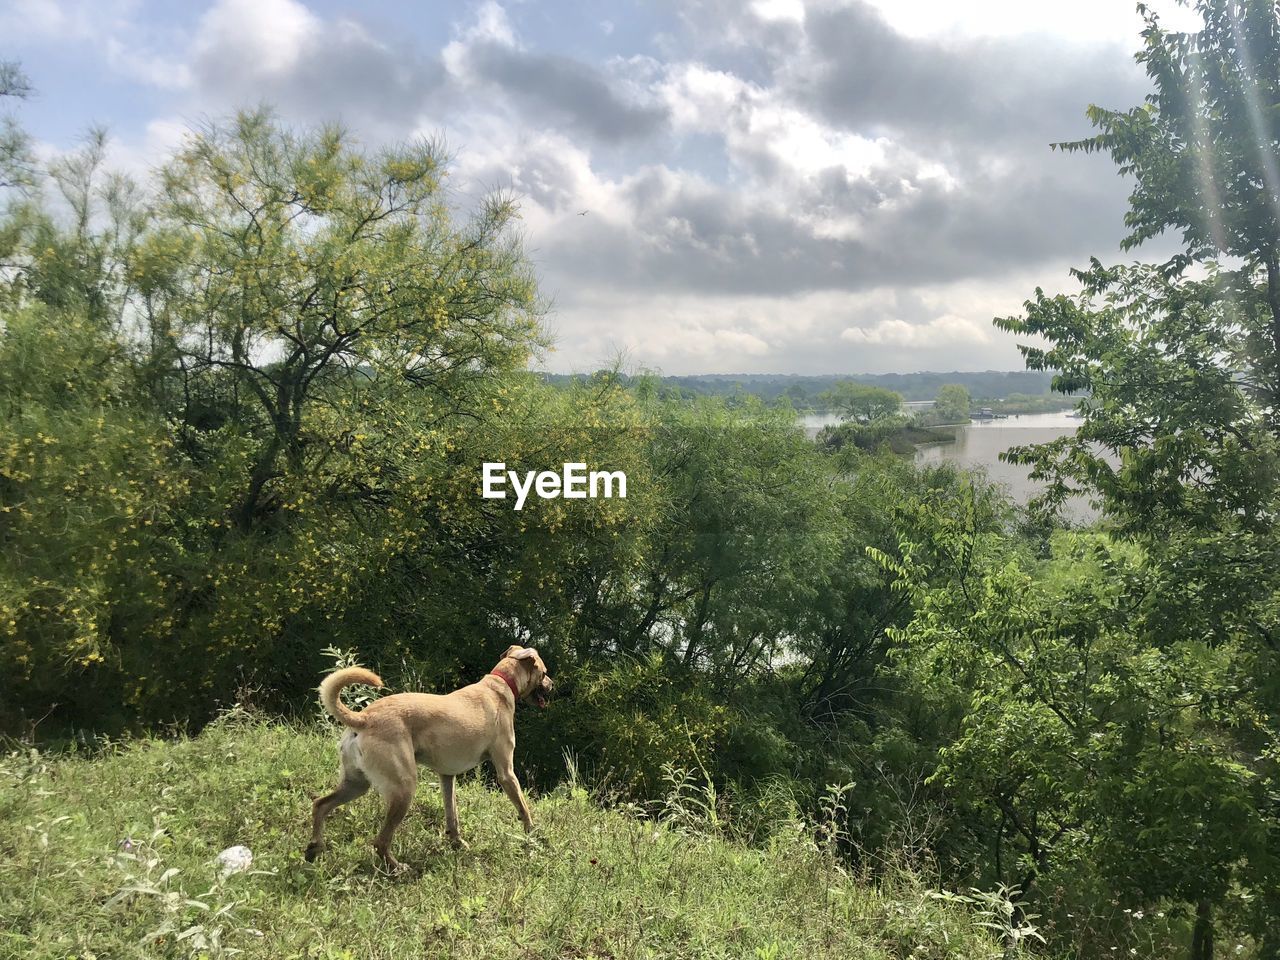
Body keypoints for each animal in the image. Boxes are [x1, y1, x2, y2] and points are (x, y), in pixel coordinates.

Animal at [308, 647, 555, 870]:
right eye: (544, 672)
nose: (553, 685)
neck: (500, 685)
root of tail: (364, 718)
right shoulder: (506, 772)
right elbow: (524, 808)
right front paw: (533, 837)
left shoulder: (447, 775)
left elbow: (451, 814)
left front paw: (457, 843)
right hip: (403, 788)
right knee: (380, 841)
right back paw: (397, 868)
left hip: (356, 784)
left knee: (320, 804)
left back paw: (313, 849)